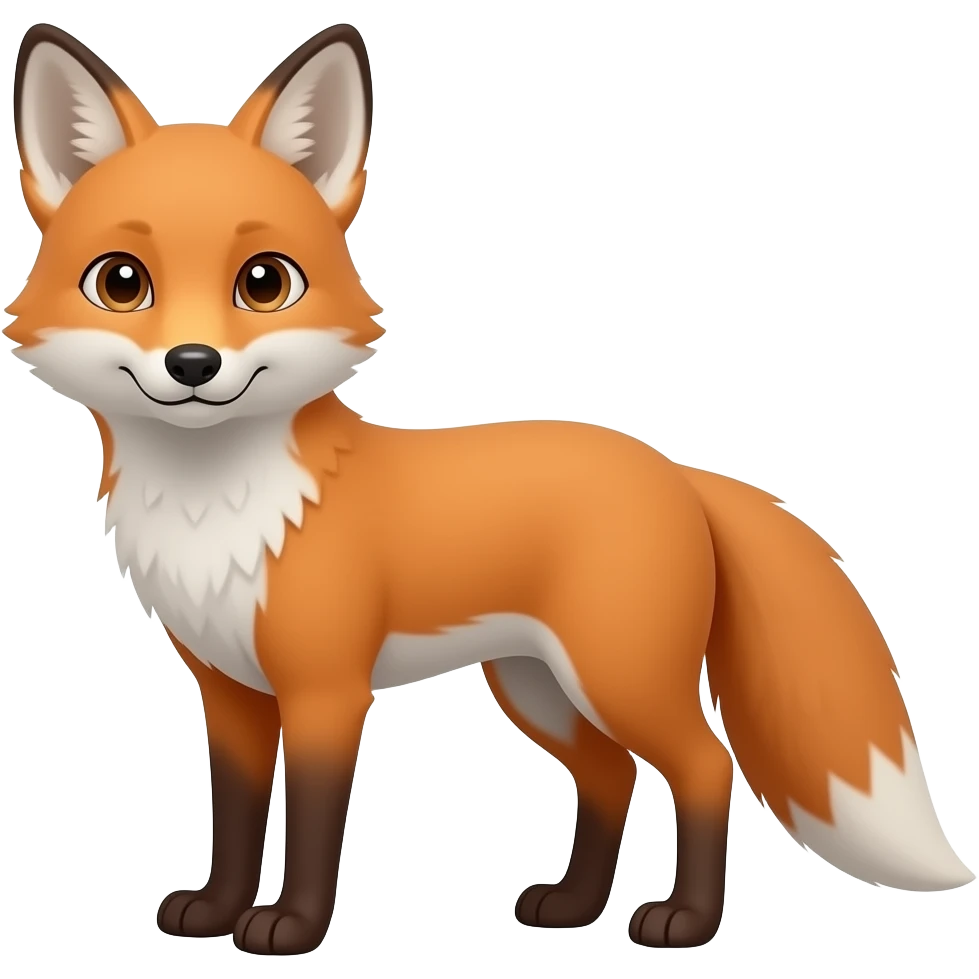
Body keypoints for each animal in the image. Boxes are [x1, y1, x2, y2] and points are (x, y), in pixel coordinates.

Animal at [5, 20, 974, 957]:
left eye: (264, 281)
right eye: (122, 281)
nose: (193, 364)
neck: (219, 510)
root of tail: (674, 468)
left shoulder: (326, 689)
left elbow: (313, 824)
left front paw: (291, 928)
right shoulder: (229, 691)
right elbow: (236, 817)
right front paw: (214, 910)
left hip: (616, 674)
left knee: (705, 765)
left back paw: (684, 922)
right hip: (538, 686)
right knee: (610, 774)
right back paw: (573, 905)